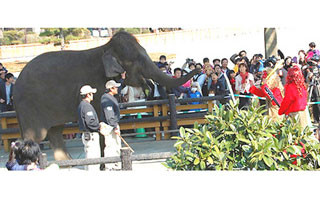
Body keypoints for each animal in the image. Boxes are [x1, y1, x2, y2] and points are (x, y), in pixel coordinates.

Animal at [13, 30, 200, 161]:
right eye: (134, 61)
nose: (197, 67)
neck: (105, 48)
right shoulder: (96, 86)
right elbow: (101, 119)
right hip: (29, 107)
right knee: (35, 137)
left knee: (55, 131)